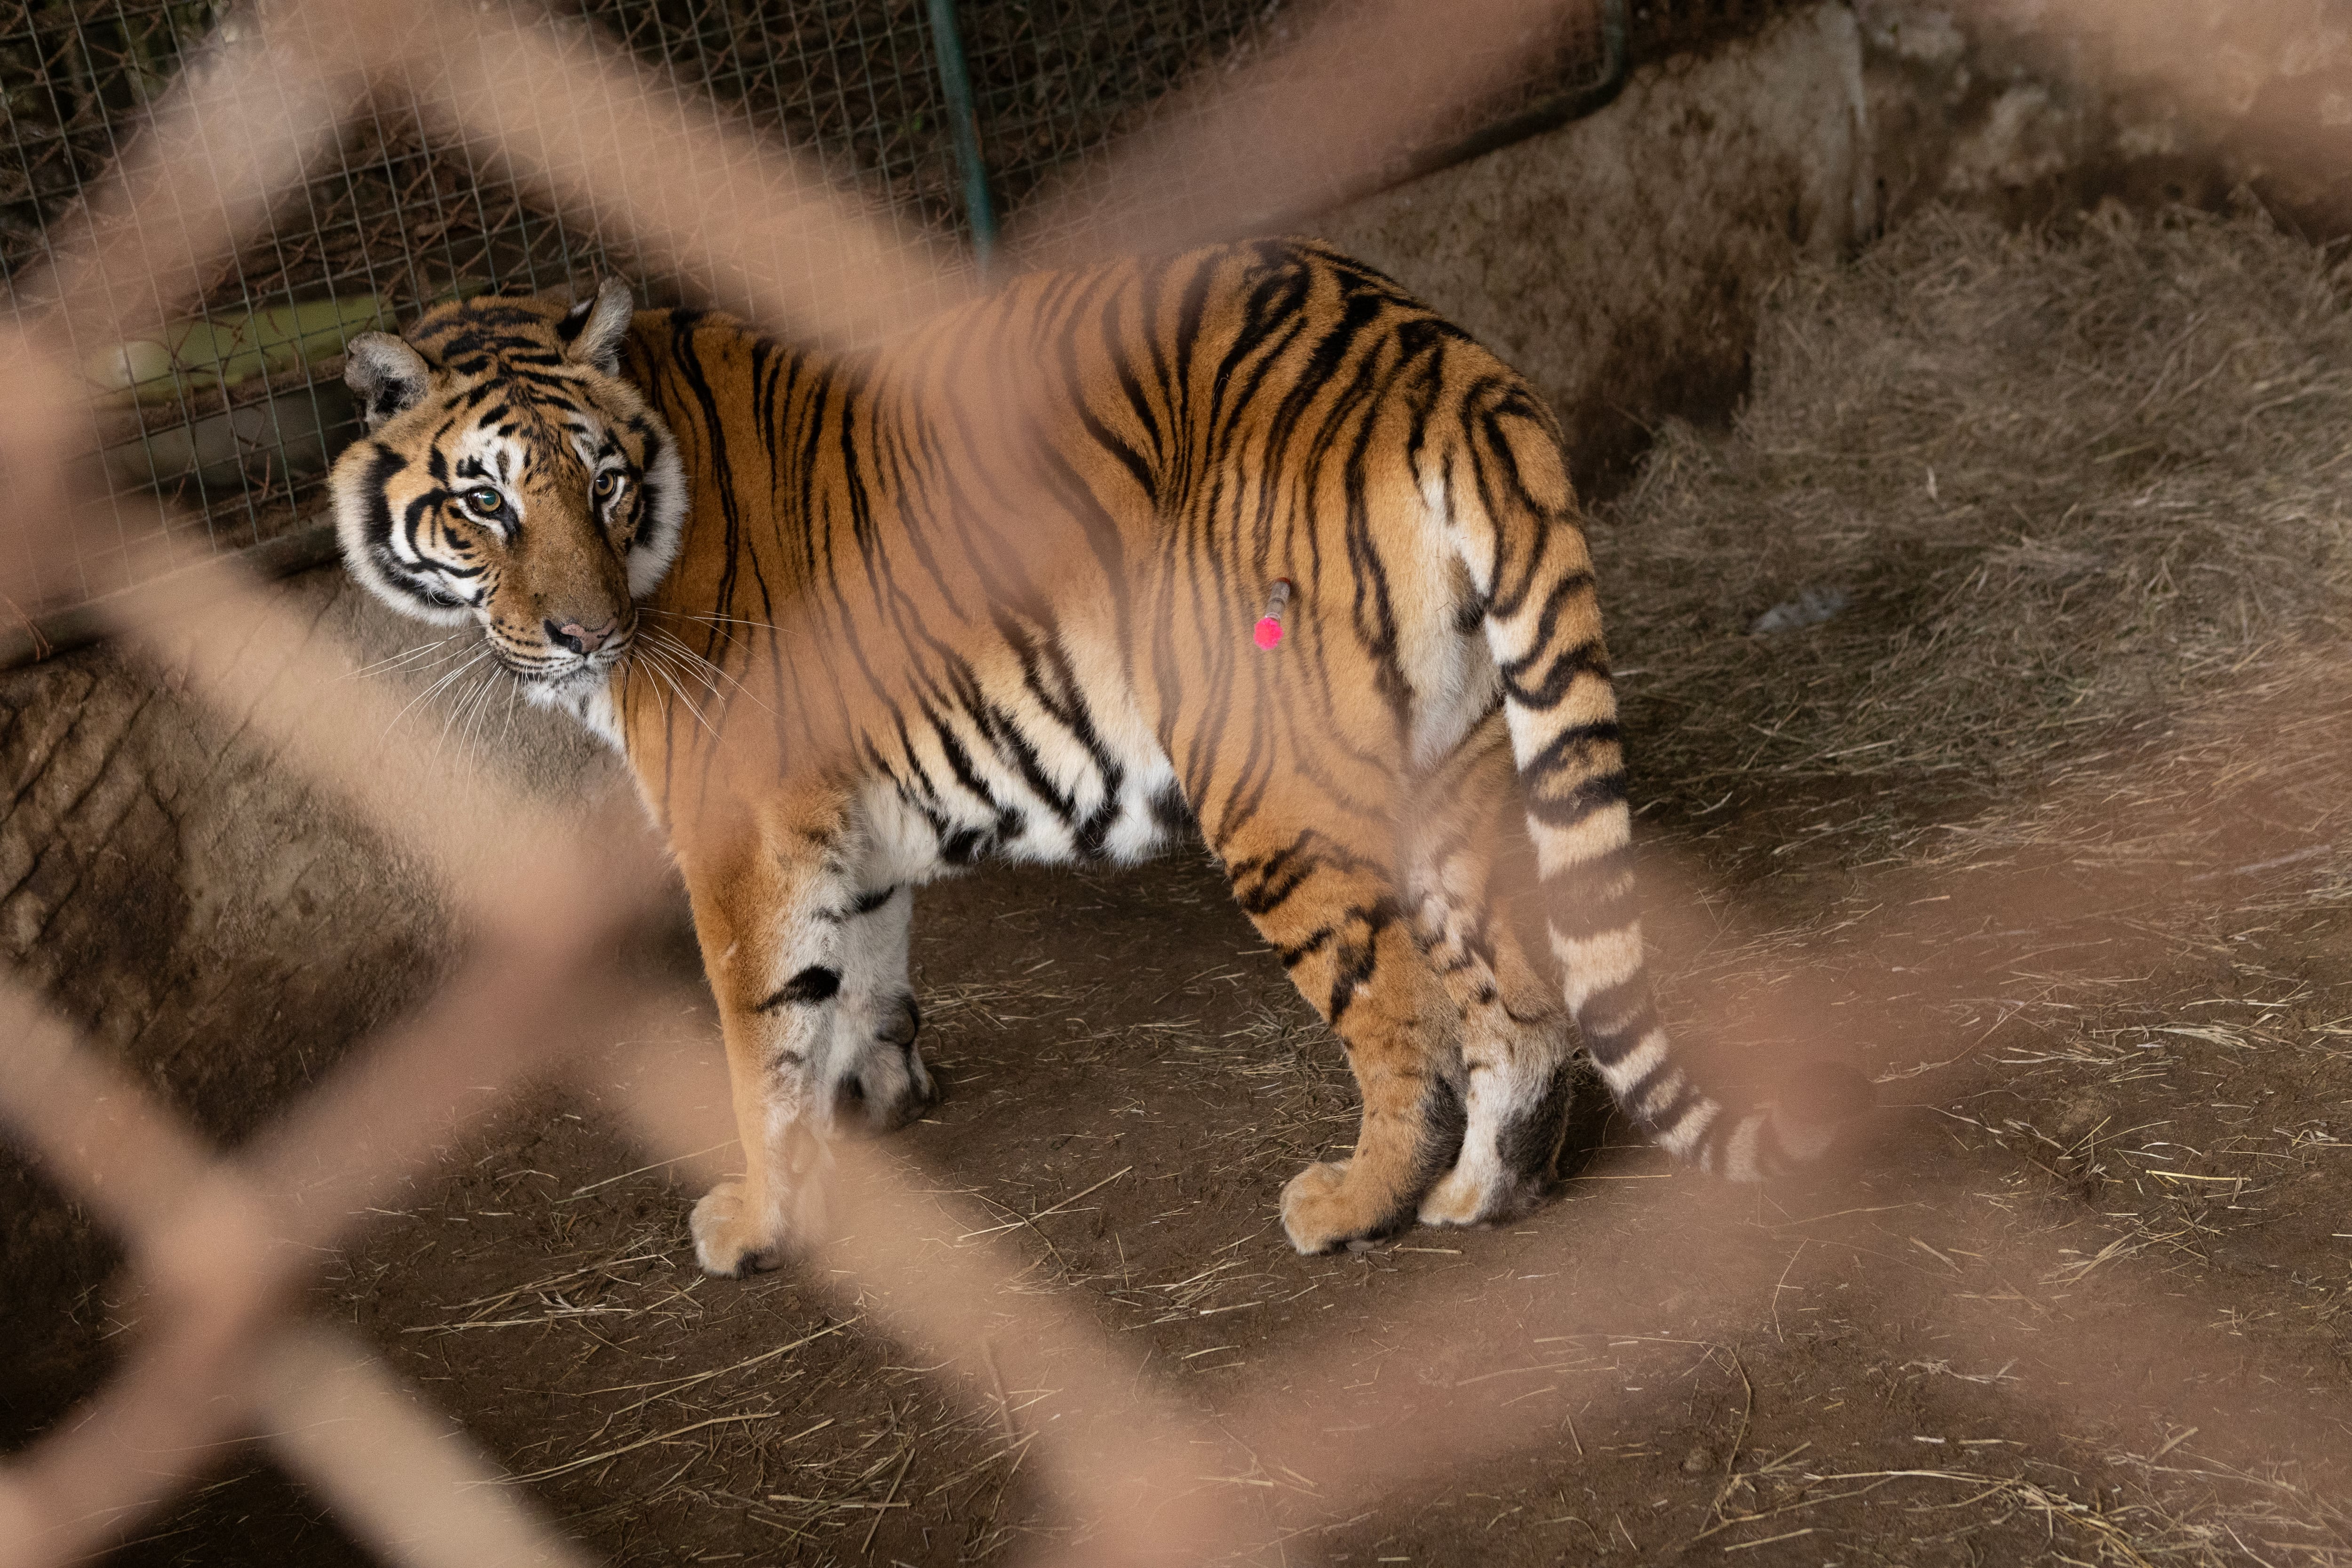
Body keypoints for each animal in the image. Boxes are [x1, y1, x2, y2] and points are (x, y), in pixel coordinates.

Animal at [327, 239, 1867, 1272]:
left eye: (597, 483)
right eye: (483, 503)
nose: (587, 635)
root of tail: (1443, 358)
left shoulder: (736, 829)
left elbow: (759, 1032)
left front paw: (761, 1216)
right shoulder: (835, 814)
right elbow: (861, 964)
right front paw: (879, 1102)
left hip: (1273, 785)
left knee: (1401, 1017)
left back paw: (1346, 1207)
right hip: (1457, 748)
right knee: (1524, 1002)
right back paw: (1484, 1196)